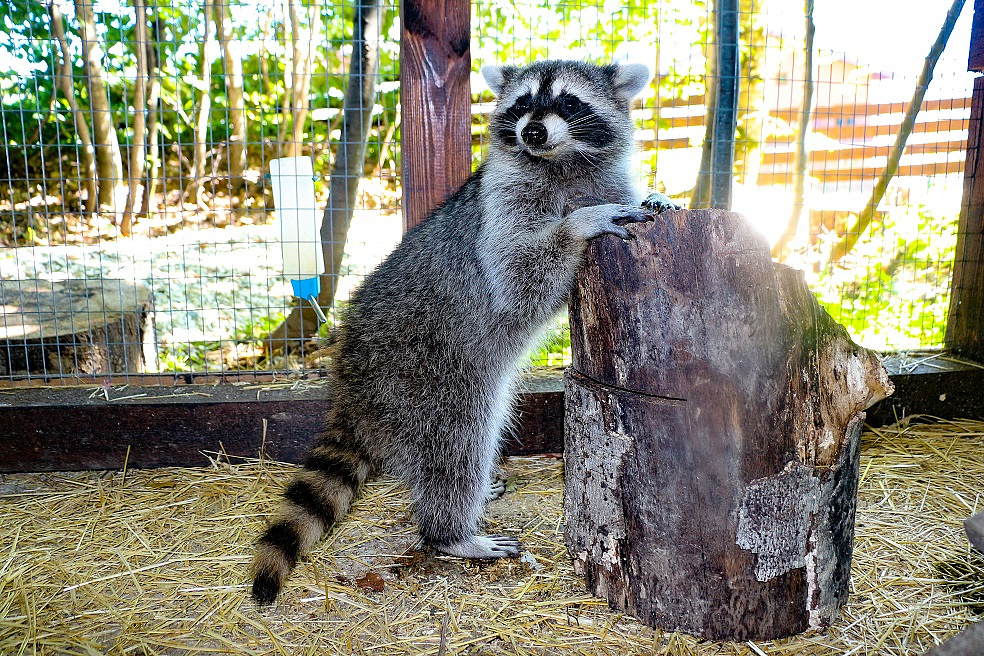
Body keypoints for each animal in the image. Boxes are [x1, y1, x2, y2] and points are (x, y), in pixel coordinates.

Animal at [250, 60, 672, 604]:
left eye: (569, 102)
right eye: (522, 103)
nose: (532, 132)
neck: (562, 162)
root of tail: (350, 383)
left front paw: (656, 195)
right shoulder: (504, 202)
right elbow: (515, 276)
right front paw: (578, 225)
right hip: (421, 370)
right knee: (459, 437)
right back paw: (452, 532)